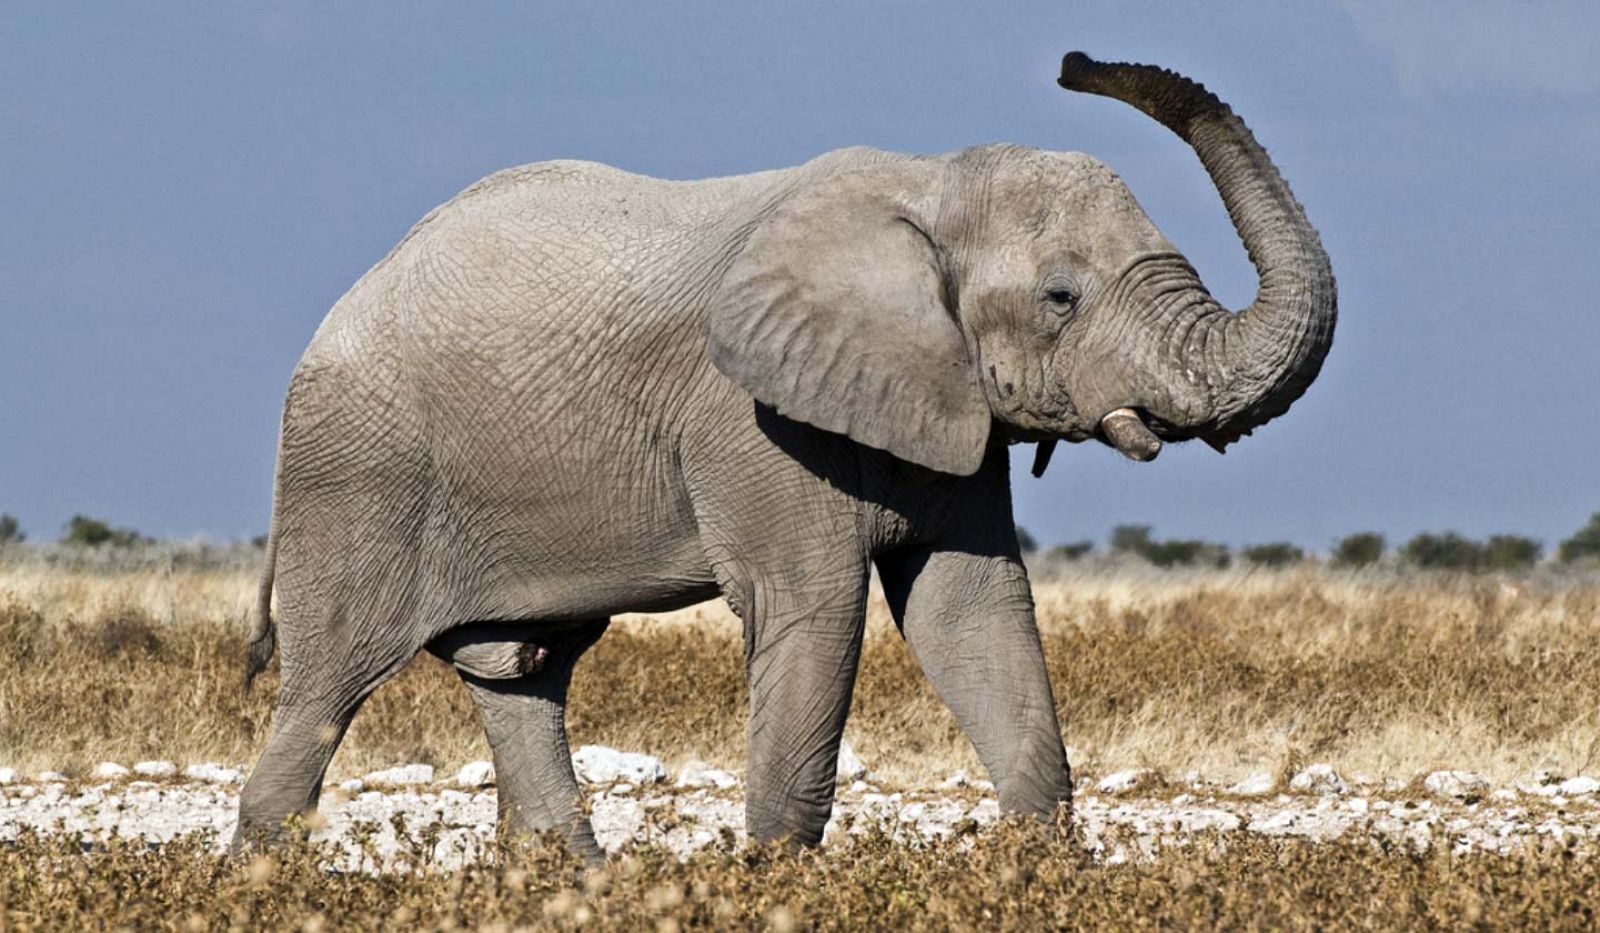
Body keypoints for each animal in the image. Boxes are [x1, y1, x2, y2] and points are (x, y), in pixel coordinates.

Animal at [234, 52, 1335, 858]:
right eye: (1061, 295)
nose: (1075, 63)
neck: (929, 184)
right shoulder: (750, 417)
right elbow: (816, 612)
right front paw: (771, 887)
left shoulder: (945, 406)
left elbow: (973, 613)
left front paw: (1043, 881)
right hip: (357, 469)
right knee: (326, 692)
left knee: (520, 673)